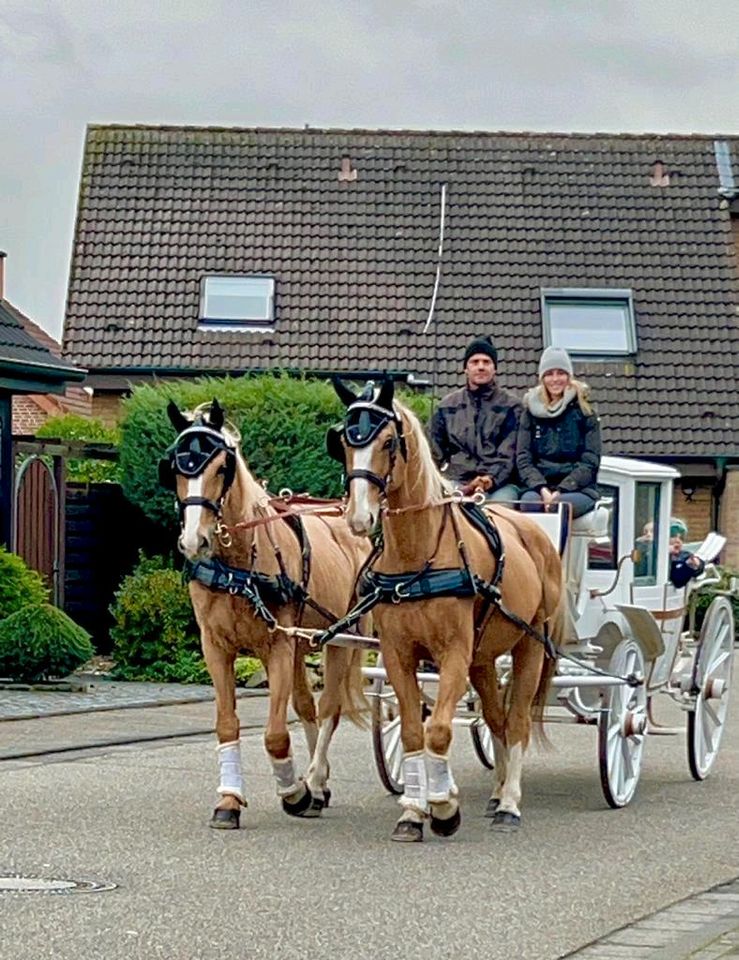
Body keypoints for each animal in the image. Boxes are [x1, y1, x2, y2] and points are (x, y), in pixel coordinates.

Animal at [160, 402, 370, 828]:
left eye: (222, 467)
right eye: (174, 466)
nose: (193, 541)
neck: (239, 566)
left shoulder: (277, 647)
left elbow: (275, 734)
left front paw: (294, 793)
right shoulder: (216, 648)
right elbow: (227, 724)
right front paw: (228, 800)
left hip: (342, 639)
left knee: (329, 709)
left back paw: (315, 783)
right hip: (304, 643)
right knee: (307, 707)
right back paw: (319, 787)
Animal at [326, 378, 564, 844]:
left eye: (388, 441)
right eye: (344, 440)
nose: (359, 517)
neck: (417, 555)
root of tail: (534, 533)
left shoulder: (453, 653)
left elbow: (437, 729)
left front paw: (443, 808)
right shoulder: (399, 655)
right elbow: (413, 730)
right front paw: (412, 812)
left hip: (529, 645)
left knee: (518, 721)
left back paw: (509, 804)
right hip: (484, 659)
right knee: (496, 720)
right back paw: (496, 793)